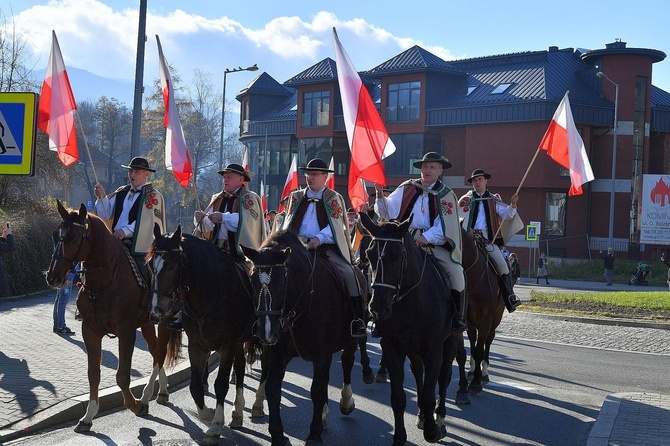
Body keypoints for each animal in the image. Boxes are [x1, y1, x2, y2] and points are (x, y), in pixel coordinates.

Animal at [45, 201, 181, 432]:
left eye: (74, 238)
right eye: (56, 234)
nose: (53, 276)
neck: (105, 281)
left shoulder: (126, 331)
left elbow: (122, 376)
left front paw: (135, 405)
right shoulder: (90, 331)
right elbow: (93, 374)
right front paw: (88, 415)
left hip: (164, 321)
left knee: (160, 353)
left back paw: (150, 395)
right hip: (146, 325)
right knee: (156, 351)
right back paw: (161, 391)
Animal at [150, 226, 268, 446]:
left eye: (171, 266)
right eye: (151, 265)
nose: (156, 310)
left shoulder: (227, 345)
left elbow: (220, 384)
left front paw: (215, 426)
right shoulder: (198, 346)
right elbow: (195, 387)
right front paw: (209, 414)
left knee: (266, 371)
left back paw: (257, 404)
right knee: (240, 369)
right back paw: (238, 412)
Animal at [242, 230, 362, 446]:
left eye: (281, 282)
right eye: (252, 280)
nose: (266, 333)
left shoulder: (322, 355)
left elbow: (317, 391)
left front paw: (314, 434)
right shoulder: (278, 353)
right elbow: (273, 388)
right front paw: (278, 434)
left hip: (351, 340)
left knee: (347, 362)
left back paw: (346, 401)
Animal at [464, 230, 506, 394]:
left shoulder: (487, 319)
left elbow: (479, 349)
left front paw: (476, 382)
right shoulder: (468, 319)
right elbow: (473, 346)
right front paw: (472, 374)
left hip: (496, 317)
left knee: (488, 341)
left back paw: (485, 372)